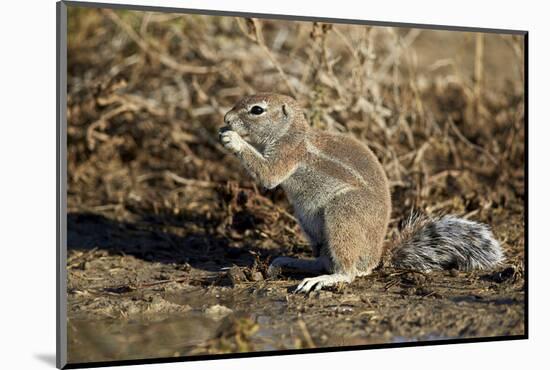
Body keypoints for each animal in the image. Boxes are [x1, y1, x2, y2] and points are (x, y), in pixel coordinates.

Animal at [220, 93, 504, 294]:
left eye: (257, 110)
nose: (225, 118)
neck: (291, 133)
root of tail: (378, 256)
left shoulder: (287, 155)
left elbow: (268, 175)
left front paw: (233, 139)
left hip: (342, 213)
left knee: (349, 271)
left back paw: (322, 279)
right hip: (312, 228)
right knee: (325, 259)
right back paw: (294, 262)